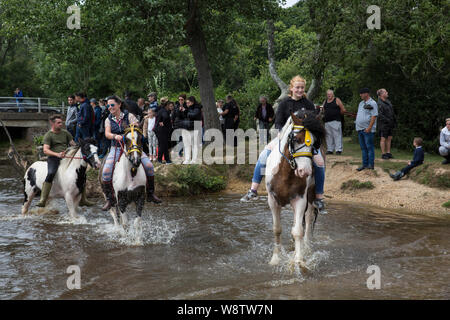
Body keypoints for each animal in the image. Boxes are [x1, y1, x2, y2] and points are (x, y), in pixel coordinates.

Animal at [266, 111, 326, 266]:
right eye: (296, 139)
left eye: (315, 143)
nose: (305, 171)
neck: (285, 173)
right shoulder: (273, 201)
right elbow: (277, 229)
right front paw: (276, 258)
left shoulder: (300, 200)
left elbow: (298, 231)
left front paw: (299, 260)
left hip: (311, 196)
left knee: (308, 220)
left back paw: (306, 247)